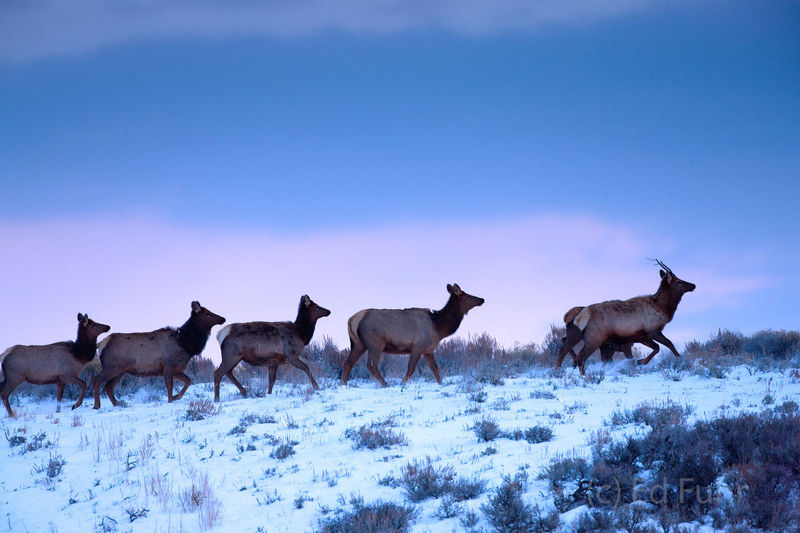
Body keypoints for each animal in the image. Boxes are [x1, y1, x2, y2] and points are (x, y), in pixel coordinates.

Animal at [92, 301, 225, 409]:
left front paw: (176, 397)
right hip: (111, 367)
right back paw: (97, 406)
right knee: (96, 380)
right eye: (207, 313)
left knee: (109, 387)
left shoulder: (176, 369)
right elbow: (170, 386)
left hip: (120, 371)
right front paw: (171, 400)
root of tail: (101, 344)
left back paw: (117, 404)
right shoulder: (168, 365)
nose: (223, 318)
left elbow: (189, 380)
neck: (185, 344)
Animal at [342, 283, 485, 386]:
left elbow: (435, 368)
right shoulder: (417, 346)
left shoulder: (428, 350)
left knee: (348, 362)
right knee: (371, 365)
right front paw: (402, 384)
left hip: (358, 343)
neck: (439, 328)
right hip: (375, 343)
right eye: (465, 294)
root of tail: (351, 320)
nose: (482, 299)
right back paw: (385, 384)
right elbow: (411, 369)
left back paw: (344, 384)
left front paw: (441, 384)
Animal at [556, 260, 695, 376]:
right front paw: (681, 361)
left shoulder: (640, 336)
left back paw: (558, 372)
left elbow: (656, 348)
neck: (663, 309)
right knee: (581, 356)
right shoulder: (653, 331)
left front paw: (639, 361)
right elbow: (668, 345)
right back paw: (584, 377)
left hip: (576, 334)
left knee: (563, 349)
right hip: (595, 338)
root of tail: (580, 315)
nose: (693, 285)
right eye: (679, 282)